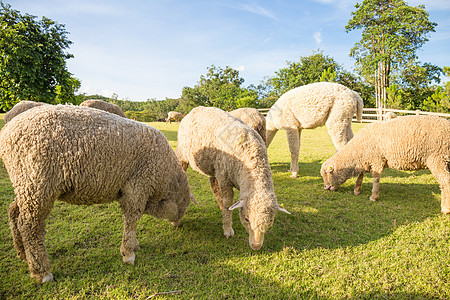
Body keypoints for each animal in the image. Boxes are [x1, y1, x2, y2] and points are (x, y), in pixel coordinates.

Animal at [1, 104, 195, 282]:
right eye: (184, 206)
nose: (178, 225)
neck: (165, 177)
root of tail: (7, 131)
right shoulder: (138, 186)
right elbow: (132, 219)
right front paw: (128, 253)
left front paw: (134, 245)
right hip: (38, 183)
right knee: (29, 226)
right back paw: (42, 272)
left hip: (25, 183)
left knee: (14, 212)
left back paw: (22, 254)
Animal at [176, 106, 288, 251]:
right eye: (246, 219)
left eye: (270, 221)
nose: (256, 246)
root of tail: (195, 109)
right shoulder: (225, 179)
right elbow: (228, 201)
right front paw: (228, 229)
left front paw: (226, 214)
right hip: (183, 155)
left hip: (214, 166)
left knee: (213, 185)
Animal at [320, 114, 450, 213]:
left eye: (327, 174)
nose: (325, 187)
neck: (356, 152)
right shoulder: (366, 160)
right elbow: (361, 175)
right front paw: (357, 189)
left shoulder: (377, 160)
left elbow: (375, 179)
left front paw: (374, 197)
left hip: (437, 159)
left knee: (445, 181)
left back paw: (445, 209)